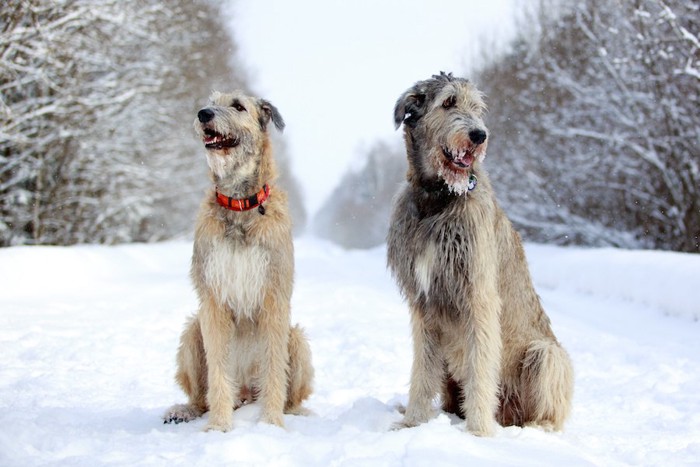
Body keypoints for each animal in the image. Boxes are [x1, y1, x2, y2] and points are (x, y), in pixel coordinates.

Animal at [163, 90, 312, 432]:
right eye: (211, 101)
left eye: (238, 106)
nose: (203, 113)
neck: (240, 204)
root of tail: (245, 394)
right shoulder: (212, 297)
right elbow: (218, 371)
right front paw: (219, 426)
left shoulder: (274, 294)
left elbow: (274, 368)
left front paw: (271, 424)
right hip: (192, 333)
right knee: (200, 396)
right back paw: (185, 410)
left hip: (297, 340)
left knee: (291, 393)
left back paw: (294, 413)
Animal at [388, 71, 576, 436]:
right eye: (448, 102)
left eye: (477, 108)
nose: (479, 135)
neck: (439, 199)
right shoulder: (424, 302)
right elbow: (422, 369)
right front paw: (413, 421)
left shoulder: (479, 295)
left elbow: (480, 367)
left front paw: (478, 432)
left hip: (545, 354)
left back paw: (534, 427)